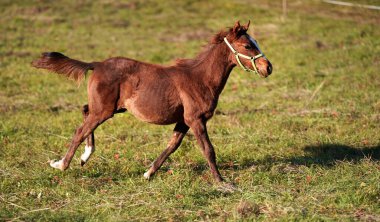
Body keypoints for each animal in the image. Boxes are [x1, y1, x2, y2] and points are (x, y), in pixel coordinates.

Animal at [31, 20, 270, 183]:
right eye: (247, 46)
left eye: (255, 43)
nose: (268, 68)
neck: (200, 78)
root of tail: (97, 64)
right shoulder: (196, 119)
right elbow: (208, 150)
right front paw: (222, 182)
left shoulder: (184, 121)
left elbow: (172, 146)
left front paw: (148, 173)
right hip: (105, 110)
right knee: (81, 129)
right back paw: (62, 164)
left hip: (112, 108)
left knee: (84, 110)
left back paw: (84, 156)